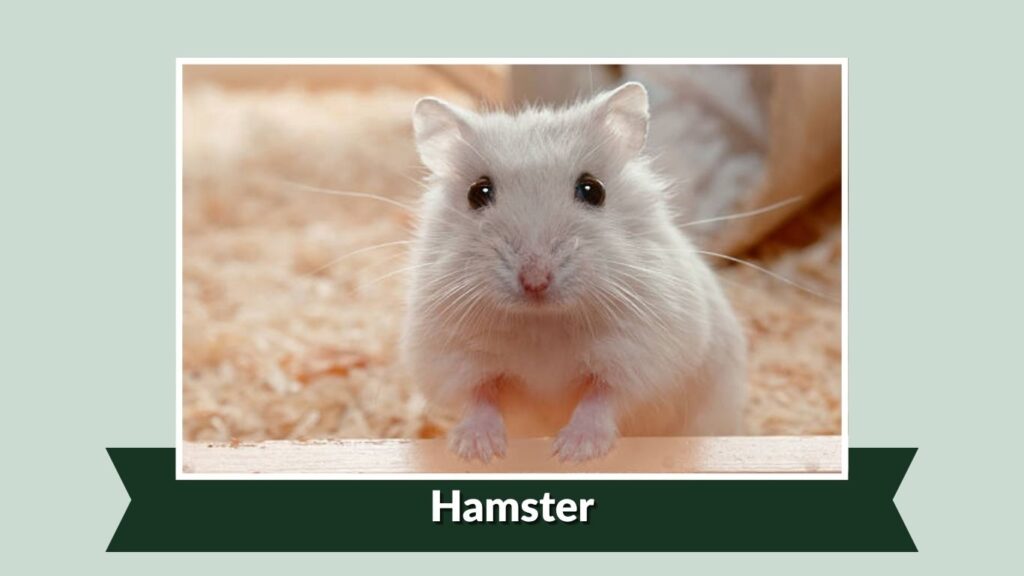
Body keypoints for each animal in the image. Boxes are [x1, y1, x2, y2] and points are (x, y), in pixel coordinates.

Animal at [401, 82, 746, 463]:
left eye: (592, 189)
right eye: (478, 192)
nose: (535, 280)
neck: (542, 322)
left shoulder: (642, 354)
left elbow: (603, 397)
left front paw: (572, 451)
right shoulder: (451, 357)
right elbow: (478, 397)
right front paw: (478, 451)